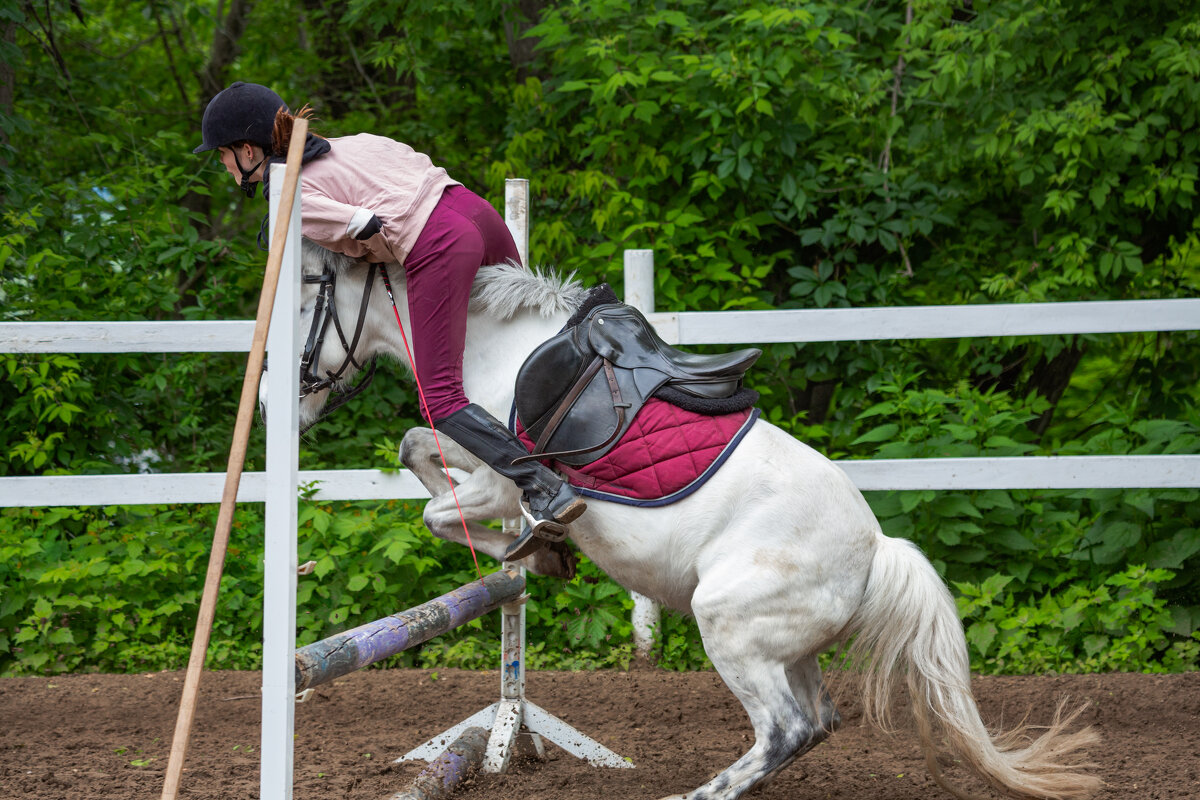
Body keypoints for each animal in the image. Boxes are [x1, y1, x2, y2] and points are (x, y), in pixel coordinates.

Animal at [267, 241, 1099, 800]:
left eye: (304, 305)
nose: (282, 404)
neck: (498, 347)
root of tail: (876, 550)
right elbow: (416, 449)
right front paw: (541, 553)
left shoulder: (498, 482)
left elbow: (445, 506)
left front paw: (535, 548)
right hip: (789, 648)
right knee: (818, 721)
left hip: (729, 625)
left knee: (785, 730)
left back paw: (698, 794)